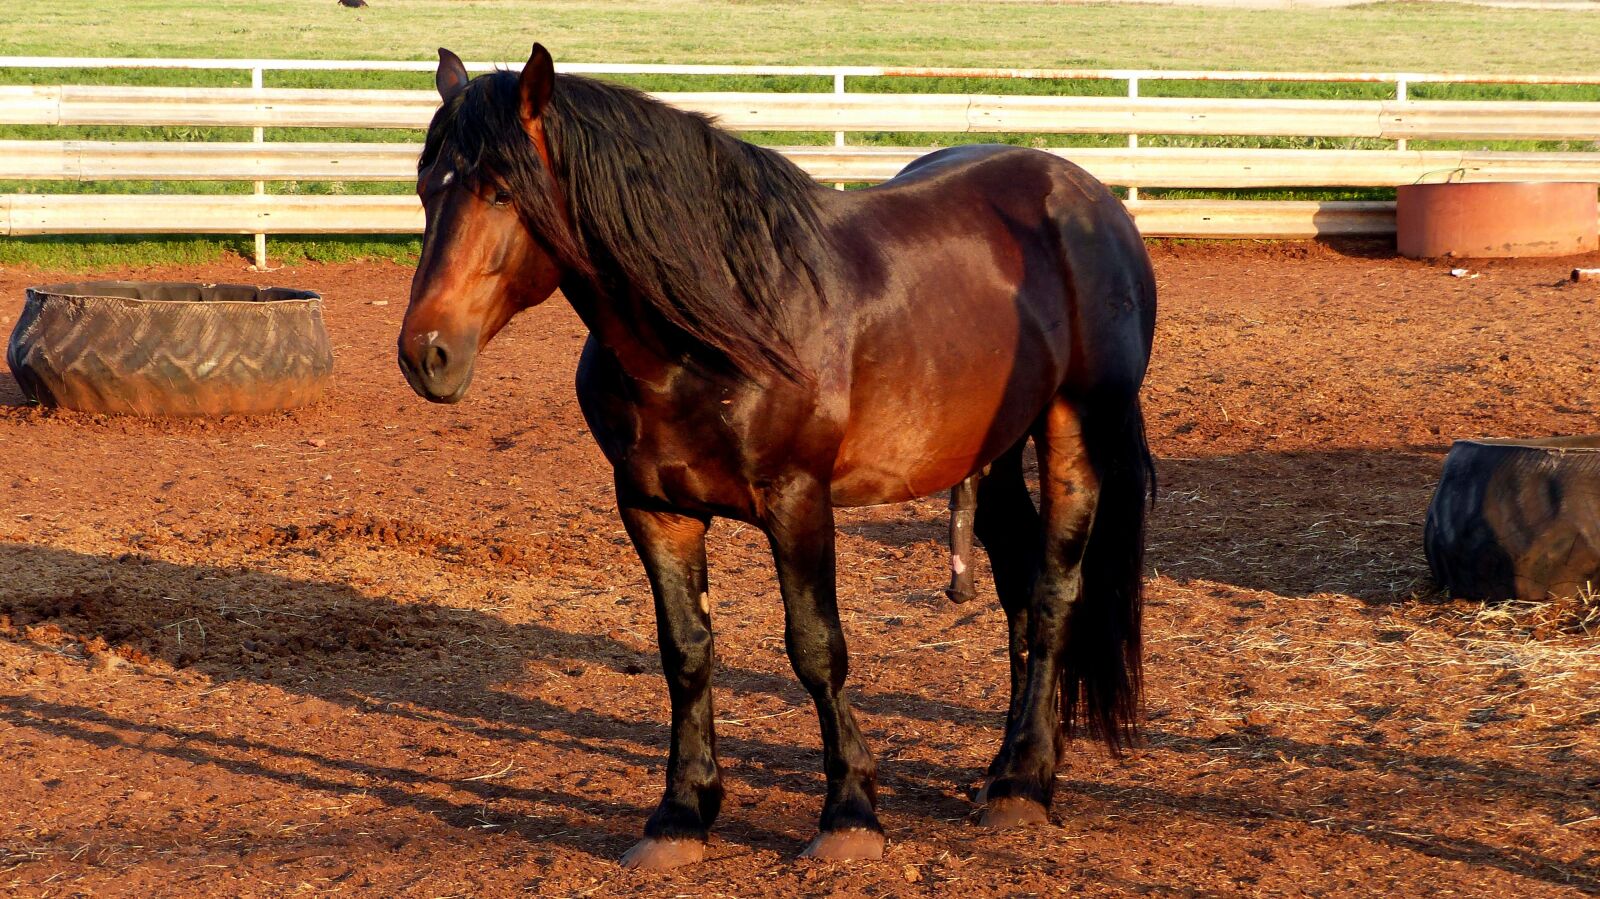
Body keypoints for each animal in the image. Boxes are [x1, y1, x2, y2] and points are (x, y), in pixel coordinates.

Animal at [399, 43, 1157, 869]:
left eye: (501, 192)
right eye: (425, 187)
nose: (426, 354)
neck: (715, 331)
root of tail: (1092, 199)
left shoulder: (797, 499)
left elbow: (816, 649)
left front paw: (850, 813)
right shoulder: (653, 508)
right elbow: (685, 653)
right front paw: (679, 814)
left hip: (1075, 428)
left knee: (1054, 594)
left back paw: (1024, 785)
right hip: (991, 449)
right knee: (1019, 587)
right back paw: (1008, 766)